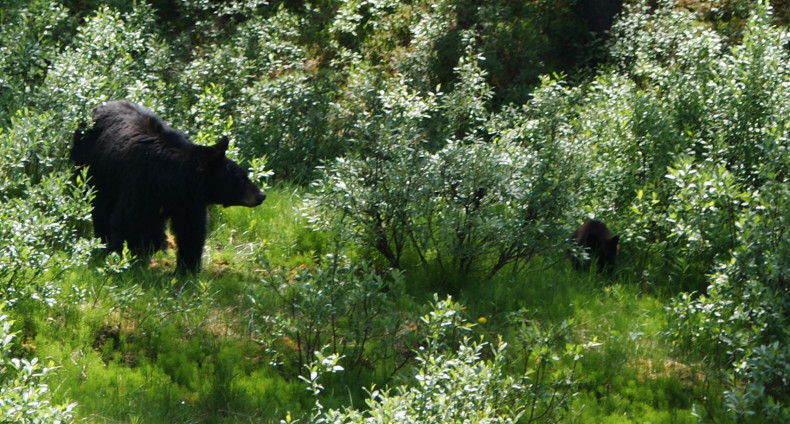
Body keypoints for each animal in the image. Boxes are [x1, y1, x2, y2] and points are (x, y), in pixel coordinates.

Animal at [70, 100, 266, 272]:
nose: (261, 195)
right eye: (240, 178)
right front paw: (123, 260)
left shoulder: (188, 202)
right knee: (100, 206)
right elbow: (126, 221)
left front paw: (188, 269)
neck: (171, 180)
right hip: (90, 169)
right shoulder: (139, 184)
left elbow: (191, 230)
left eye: (244, 174)